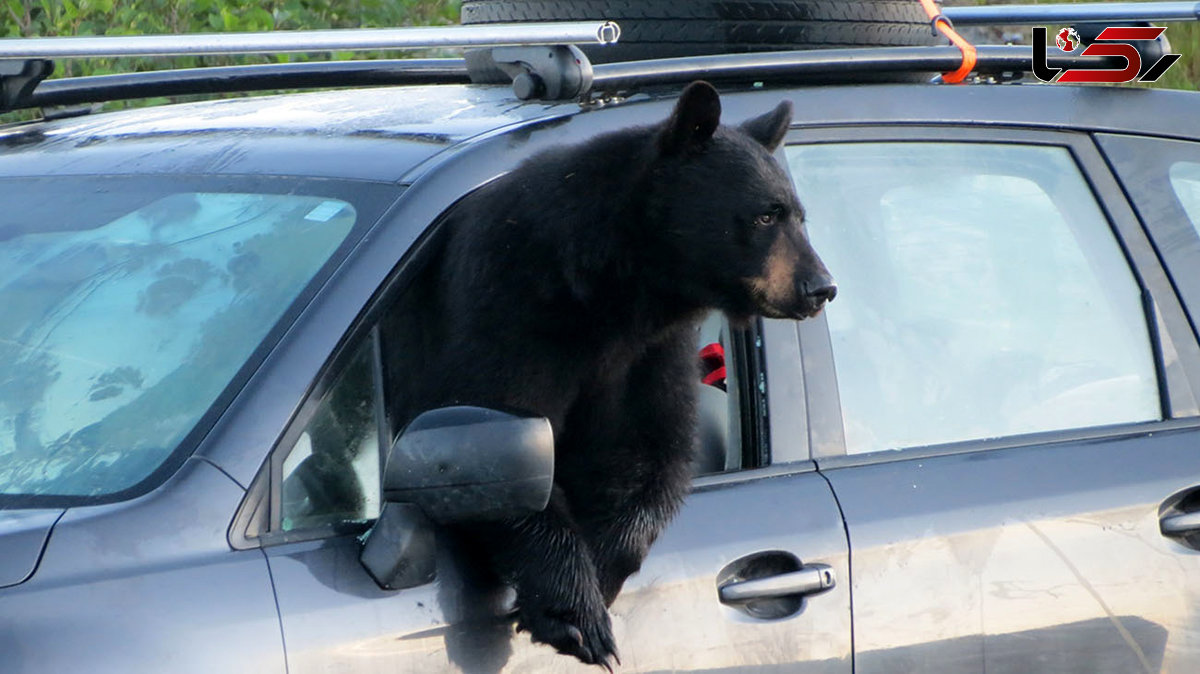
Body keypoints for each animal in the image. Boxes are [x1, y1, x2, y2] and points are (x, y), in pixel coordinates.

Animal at [384, 82, 835, 666]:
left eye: (800, 216)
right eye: (765, 216)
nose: (820, 287)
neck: (613, 291)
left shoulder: (648, 351)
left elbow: (644, 452)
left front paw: (595, 583)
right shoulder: (505, 308)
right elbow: (491, 440)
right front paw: (575, 614)